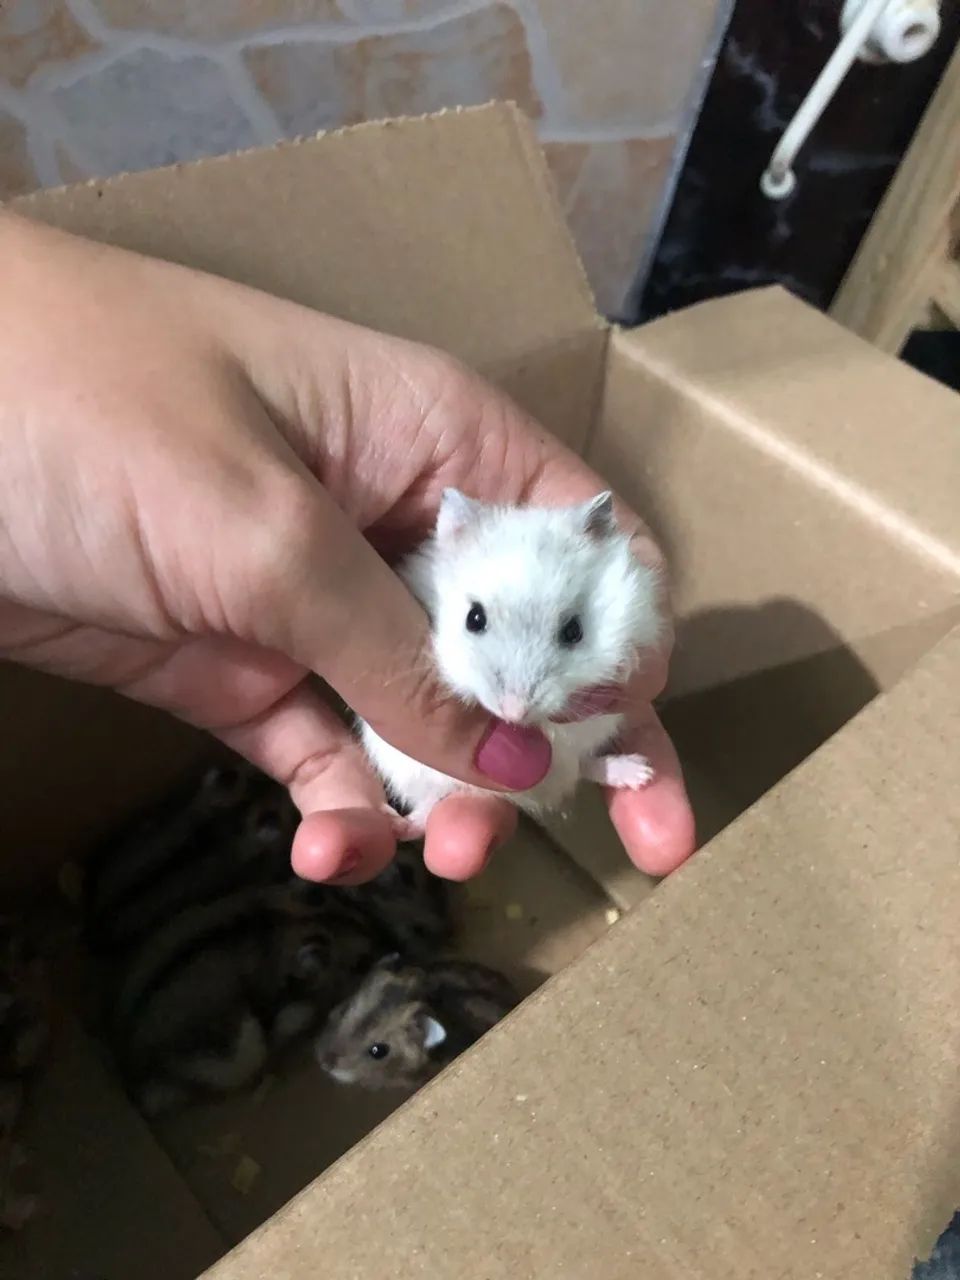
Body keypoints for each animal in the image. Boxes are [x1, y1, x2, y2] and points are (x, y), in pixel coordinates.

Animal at [358, 490, 664, 837]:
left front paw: (621, 671)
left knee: (583, 766)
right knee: (428, 808)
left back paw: (641, 773)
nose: (514, 714)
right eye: (474, 618)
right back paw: (392, 823)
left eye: (574, 631)